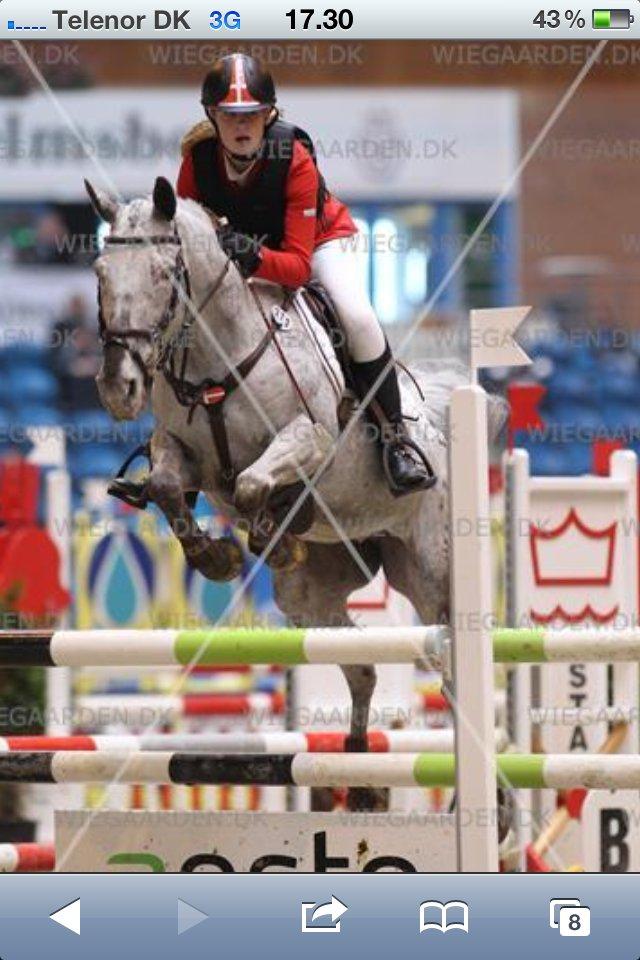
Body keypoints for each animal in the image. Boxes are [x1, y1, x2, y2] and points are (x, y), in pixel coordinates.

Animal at [86, 176, 505, 809]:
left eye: (164, 274)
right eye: (100, 271)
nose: (119, 386)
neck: (215, 359)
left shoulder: (309, 440)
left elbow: (254, 482)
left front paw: (274, 533)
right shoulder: (181, 456)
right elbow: (165, 486)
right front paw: (218, 555)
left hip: (434, 574)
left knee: (455, 672)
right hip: (311, 595)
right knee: (361, 667)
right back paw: (360, 780)